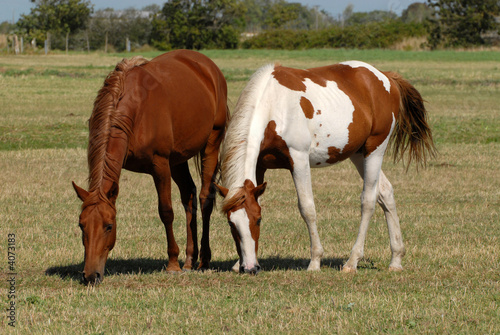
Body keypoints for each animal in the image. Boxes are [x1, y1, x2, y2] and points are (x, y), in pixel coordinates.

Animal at [72, 50, 229, 286]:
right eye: (82, 225)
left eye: (109, 226)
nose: (91, 276)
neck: (135, 109)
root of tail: (209, 67)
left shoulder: (160, 164)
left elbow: (166, 211)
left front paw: (172, 264)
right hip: (178, 159)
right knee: (189, 195)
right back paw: (190, 260)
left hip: (211, 143)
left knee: (204, 198)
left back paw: (204, 260)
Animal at [217, 61, 436, 276]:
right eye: (231, 223)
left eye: (258, 220)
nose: (250, 268)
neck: (273, 106)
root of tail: (385, 77)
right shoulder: (259, 165)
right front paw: (238, 262)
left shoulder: (299, 159)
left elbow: (307, 208)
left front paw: (315, 261)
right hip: (359, 154)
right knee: (386, 192)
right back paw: (396, 259)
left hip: (375, 150)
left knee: (368, 200)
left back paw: (352, 261)